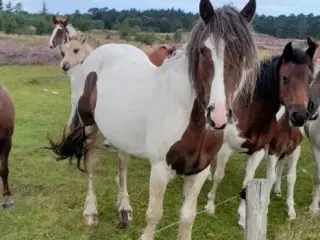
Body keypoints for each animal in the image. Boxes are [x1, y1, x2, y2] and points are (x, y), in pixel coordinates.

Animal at [46, 0, 258, 239]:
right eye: (203, 50)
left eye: (243, 55)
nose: (218, 116)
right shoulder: (159, 169)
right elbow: (154, 215)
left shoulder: (199, 172)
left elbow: (187, 218)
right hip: (89, 126)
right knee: (90, 163)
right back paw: (91, 211)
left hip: (121, 133)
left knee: (122, 164)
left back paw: (124, 208)